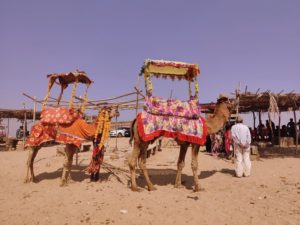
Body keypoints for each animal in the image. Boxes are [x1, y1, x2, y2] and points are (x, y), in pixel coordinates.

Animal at [128, 59, 232, 192]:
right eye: (227, 99)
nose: (233, 102)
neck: (208, 126)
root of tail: (136, 119)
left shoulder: (184, 143)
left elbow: (180, 163)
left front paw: (178, 185)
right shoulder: (196, 142)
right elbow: (194, 164)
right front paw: (198, 187)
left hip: (142, 140)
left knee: (138, 161)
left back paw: (144, 186)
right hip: (141, 139)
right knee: (136, 161)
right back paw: (141, 187)